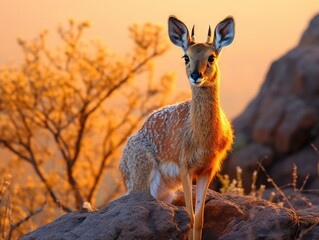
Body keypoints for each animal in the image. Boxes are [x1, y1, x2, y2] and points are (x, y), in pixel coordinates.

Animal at [120, 15, 235, 239]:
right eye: (186, 57)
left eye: (212, 57)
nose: (196, 75)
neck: (203, 138)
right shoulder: (185, 168)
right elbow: (189, 216)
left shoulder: (207, 170)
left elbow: (199, 219)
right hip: (140, 181)